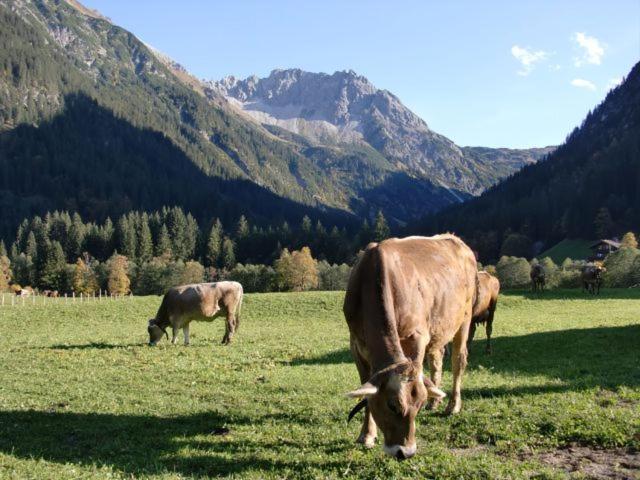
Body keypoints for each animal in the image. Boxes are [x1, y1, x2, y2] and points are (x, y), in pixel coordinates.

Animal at [344, 234, 476, 460]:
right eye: (392, 405)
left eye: (418, 405)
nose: (405, 452)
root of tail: (455, 239)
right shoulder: (356, 343)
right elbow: (366, 386)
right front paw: (367, 435)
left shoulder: (417, 336)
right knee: (437, 358)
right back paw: (436, 400)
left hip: (464, 319)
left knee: (458, 361)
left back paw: (453, 405)